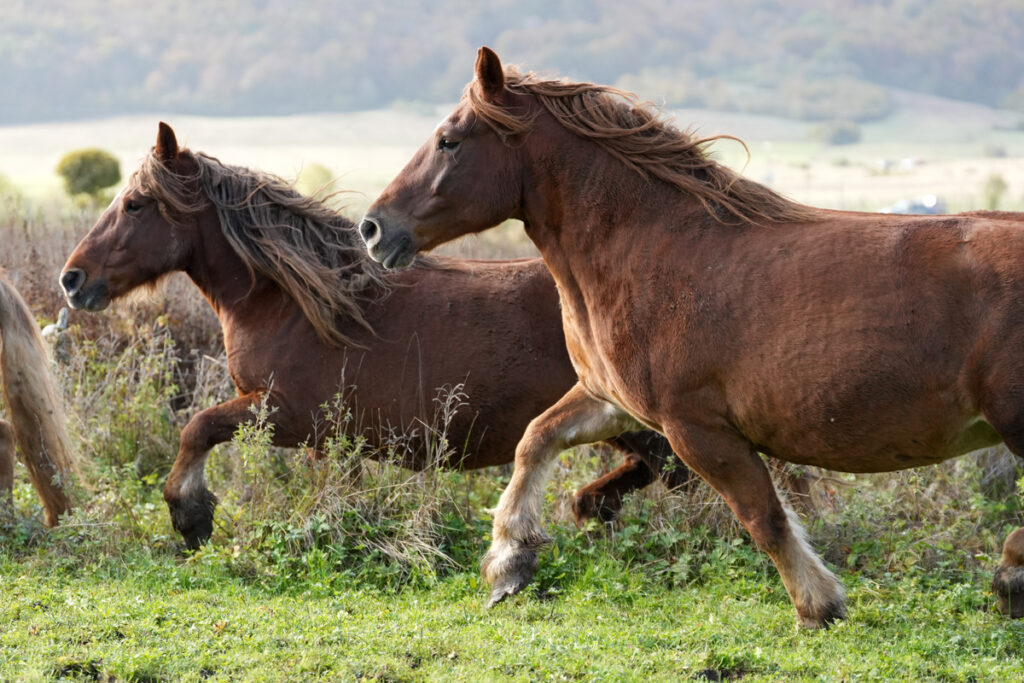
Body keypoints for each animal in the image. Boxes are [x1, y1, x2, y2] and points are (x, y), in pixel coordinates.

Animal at [59, 122, 692, 548]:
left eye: (136, 203)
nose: (72, 279)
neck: (294, 303)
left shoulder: (286, 414)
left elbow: (197, 428)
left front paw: (190, 517)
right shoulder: (325, 435)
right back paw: (590, 509)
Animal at [362, 45, 1024, 626]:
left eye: (449, 140)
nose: (373, 228)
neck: (652, 249)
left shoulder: (696, 428)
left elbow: (764, 517)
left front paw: (818, 606)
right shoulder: (610, 400)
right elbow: (535, 440)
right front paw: (509, 563)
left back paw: (1008, 579)